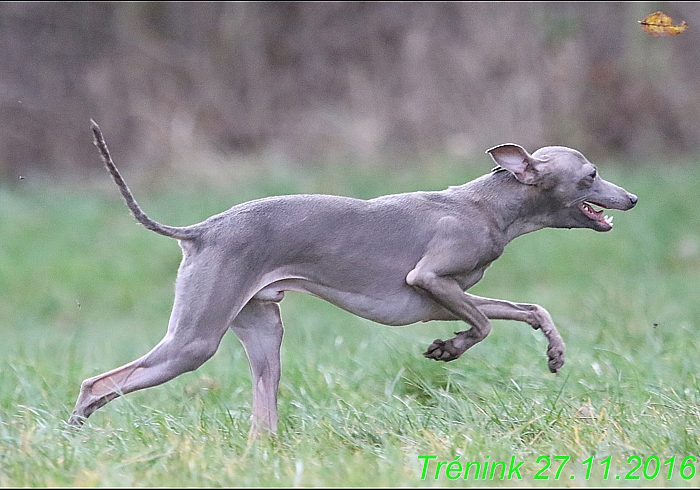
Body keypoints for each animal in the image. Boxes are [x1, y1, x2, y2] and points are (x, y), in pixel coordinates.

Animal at [68, 121, 636, 436]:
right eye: (591, 175)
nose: (631, 198)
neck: (485, 205)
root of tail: (201, 230)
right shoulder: (429, 279)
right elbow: (484, 325)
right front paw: (448, 349)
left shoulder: (444, 296)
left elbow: (526, 310)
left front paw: (555, 353)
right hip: (195, 340)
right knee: (98, 383)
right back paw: (72, 433)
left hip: (262, 332)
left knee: (261, 417)